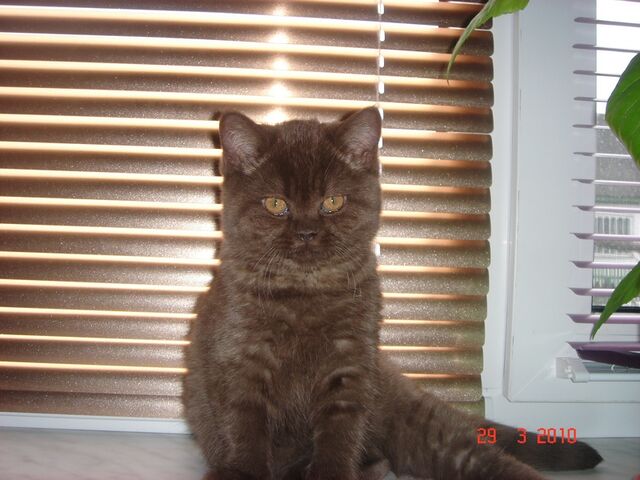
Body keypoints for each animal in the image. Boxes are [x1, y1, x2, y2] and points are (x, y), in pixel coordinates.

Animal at [183, 107, 602, 480]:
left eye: (332, 202)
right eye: (275, 204)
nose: (306, 232)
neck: (305, 294)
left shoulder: (349, 369)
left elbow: (337, 439)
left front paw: (333, 474)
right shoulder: (241, 363)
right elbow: (245, 432)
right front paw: (240, 472)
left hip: (417, 427)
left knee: (481, 458)